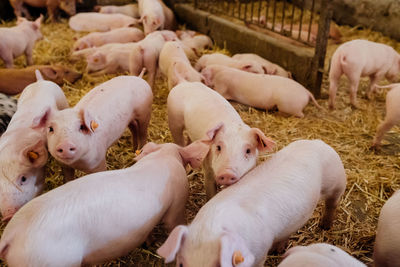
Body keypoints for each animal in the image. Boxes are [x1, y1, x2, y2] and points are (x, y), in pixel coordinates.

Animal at [158, 139, 346, 266]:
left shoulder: (260, 252)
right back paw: (279, 249)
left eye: (218, 266)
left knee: (333, 202)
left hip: (336, 179)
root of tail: (319, 142)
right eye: (181, 264)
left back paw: (325, 225)